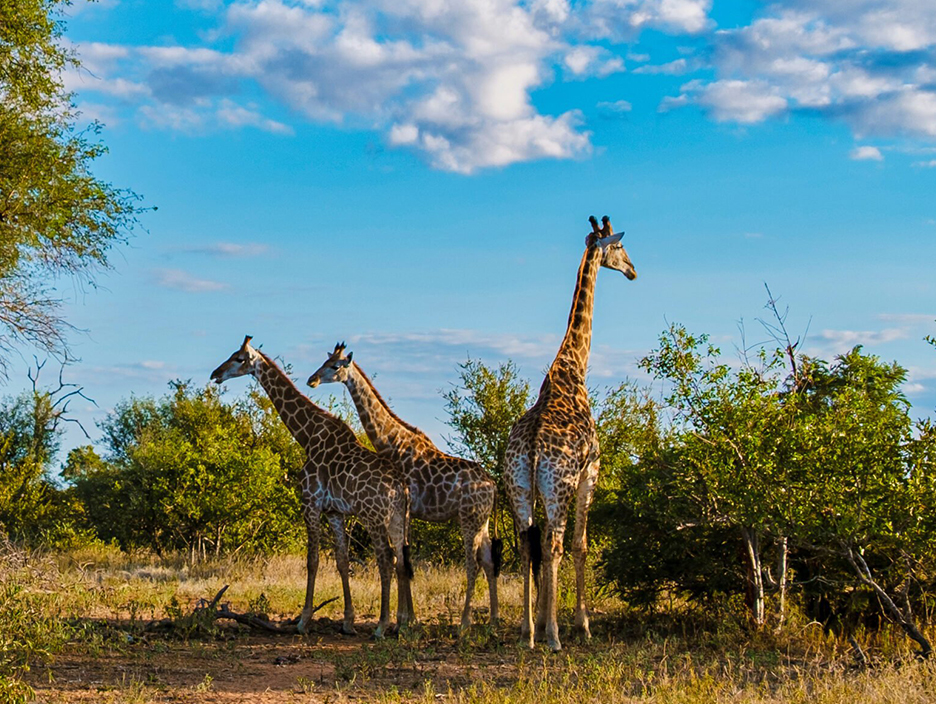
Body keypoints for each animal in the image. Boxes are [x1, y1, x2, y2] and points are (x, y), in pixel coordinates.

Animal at [212, 336, 416, 640]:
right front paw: (347, 622)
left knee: (386, 559)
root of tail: (400, 486)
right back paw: (401, 623)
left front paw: (303, 620)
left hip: (373, 516)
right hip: (398, 518)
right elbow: (341, 561)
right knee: (401, 559)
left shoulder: (310, 502)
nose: (215, 374)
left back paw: (381, 625)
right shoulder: (334, 511)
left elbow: (313, 560)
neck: (306, 436)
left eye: (238, 358)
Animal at [308, 350, 500, 628]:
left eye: (335, 366)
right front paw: (410, 618)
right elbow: (405, 560)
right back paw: (493, 619)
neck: (391, 441)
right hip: (481, 521)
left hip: (469, 519)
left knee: (472, 564)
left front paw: (404, 620)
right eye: (324, 361)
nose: (311, 380)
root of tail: (493, 485)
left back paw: (464, 624)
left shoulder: (404, 508)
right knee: (488, 561)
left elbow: (402, 560)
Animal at [504, 214, 636, 648]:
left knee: (529, 545)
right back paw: (555, 636)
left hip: (519, 488)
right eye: (620, 247)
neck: (572, 365)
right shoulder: (590, 471)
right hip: (558, 486)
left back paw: (528, 632)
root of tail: (531, 450)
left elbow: (540, 548)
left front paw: (542, 620)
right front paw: (581, 624)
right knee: (557, 544)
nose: (632, 271)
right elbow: (581, 546)